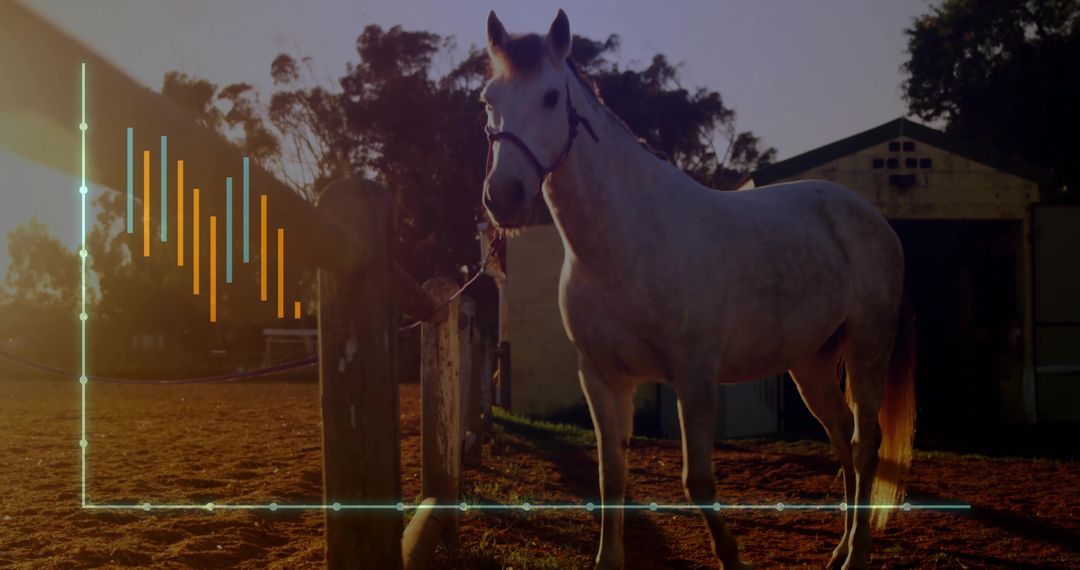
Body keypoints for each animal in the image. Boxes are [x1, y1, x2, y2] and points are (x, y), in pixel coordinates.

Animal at [479, 10, 915, 570]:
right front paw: (608, 558)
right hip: (812, 363)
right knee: (841, 439)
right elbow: (611, 476)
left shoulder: (695, 379)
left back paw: (857, 553)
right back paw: (839, 549)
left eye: (552, 97)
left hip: (867, 348)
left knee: (865, 444)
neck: (626, 242)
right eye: (488, 100)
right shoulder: (601, 378)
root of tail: (874, 219)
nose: (503, 197)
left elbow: (698, 481)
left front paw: (732, 557)